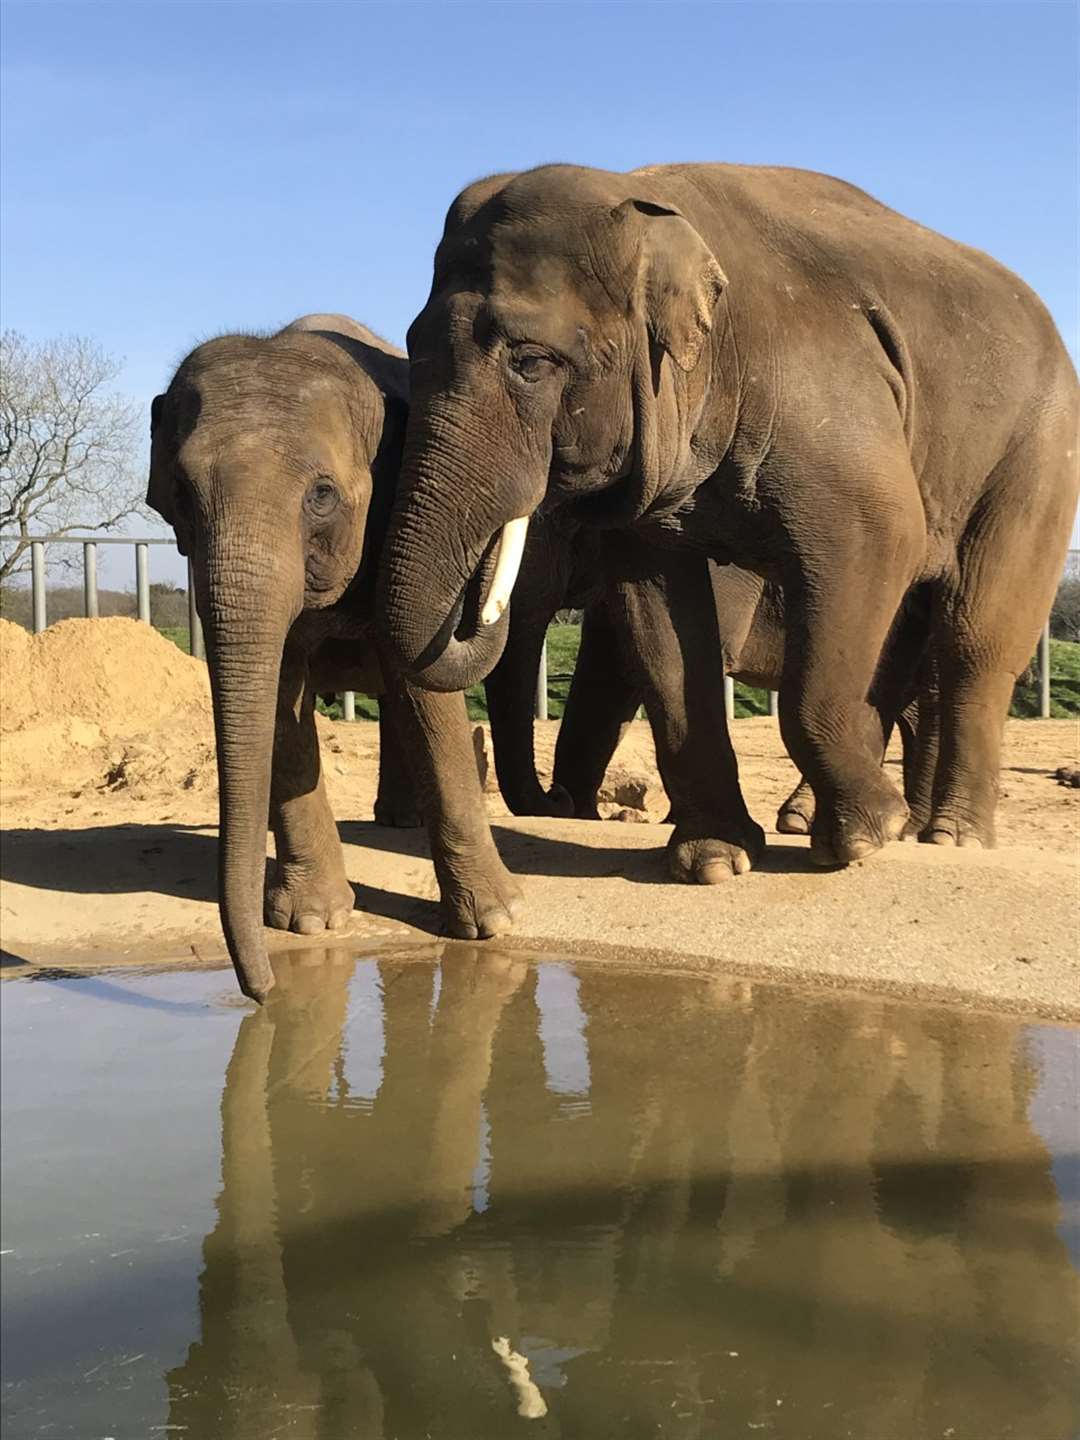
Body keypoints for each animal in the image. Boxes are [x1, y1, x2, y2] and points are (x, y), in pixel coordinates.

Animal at [149, 312, 524, 1002]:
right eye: (182, 494)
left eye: (321, 495)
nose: (262, 994)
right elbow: (281, 697)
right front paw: (310, 924)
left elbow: (423, 690)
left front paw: (495, 925)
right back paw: (396, 822)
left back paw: (403, 825)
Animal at [377, 160, 1077, 875]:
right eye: (413, 346)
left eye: (531, 362)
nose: (556, 802)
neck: (653, 208)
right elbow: (660, 619)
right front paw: (713, 861)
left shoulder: (825, 400)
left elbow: (883, 534)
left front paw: (864, 838)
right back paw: (851, 820)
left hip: (1037, 457)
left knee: (974, 640)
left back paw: (946, 835)